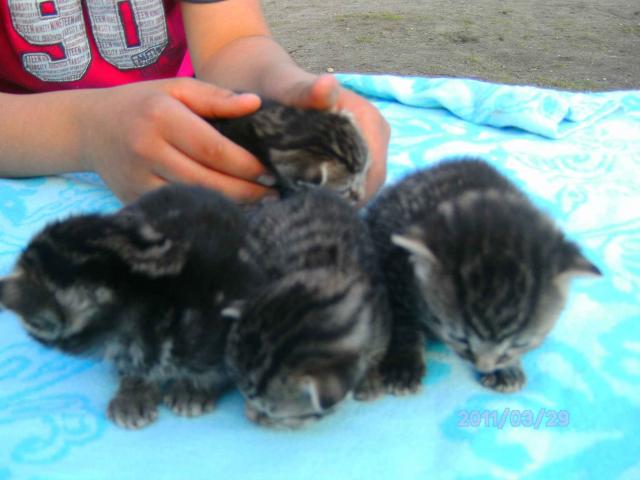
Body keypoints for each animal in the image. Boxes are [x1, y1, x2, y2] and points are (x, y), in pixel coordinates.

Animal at [364, 158, 601, 393]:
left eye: (518, 345)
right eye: (460, 338)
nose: (483, 366)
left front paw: (508, 368)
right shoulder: (391, 267)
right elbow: (401, 318)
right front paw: (402, 362)